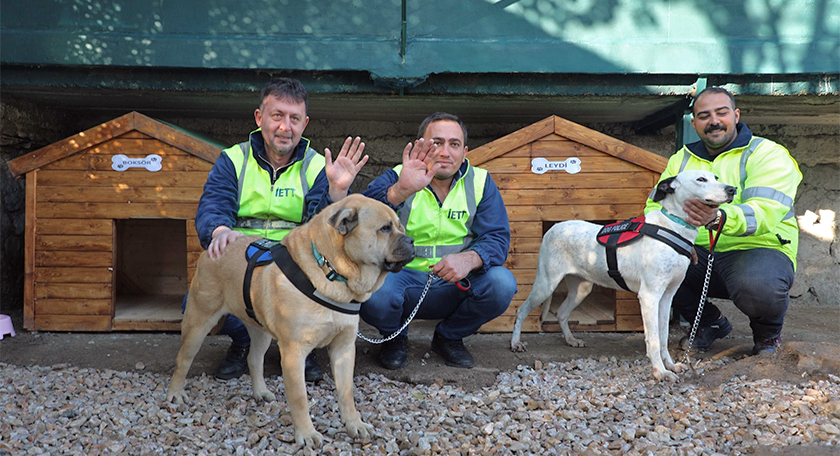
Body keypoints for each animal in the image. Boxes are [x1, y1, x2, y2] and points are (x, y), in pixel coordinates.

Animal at [166, 194, 416, 448]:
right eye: (385, 228)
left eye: (400, 227)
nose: (412, 240)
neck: (331, 270)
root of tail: (213, 248)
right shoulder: (294, 353)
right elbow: (299, 398)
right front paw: (306, 433)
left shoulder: (344, 348)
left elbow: (347, 393)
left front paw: (355, 424)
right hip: (199, 323)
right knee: (183, 360)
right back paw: (175, 394)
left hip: (260, 331)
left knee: (254, 359)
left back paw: (260, 392)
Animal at [508, 170, 732, 382]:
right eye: (701, 179)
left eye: (716, 177)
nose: (732, 189)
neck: (674, 227)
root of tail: (553, 227)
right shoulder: (649, 296)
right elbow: (653, 339)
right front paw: (660, 372)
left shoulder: (667, 296)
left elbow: (663, 336)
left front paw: (670, 365)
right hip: (546, 284)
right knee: (521, 310)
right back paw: (516, 343)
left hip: (582, 288)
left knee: (562, 313)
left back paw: (571, 340)